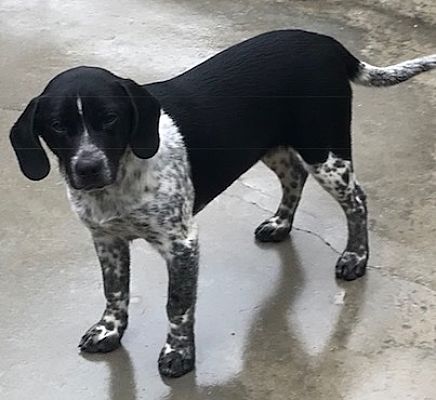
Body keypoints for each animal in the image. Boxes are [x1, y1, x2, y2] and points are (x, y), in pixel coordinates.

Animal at [10, 29, 436, 376]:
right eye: (58, 126)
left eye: (111, 119)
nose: (88, 168)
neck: (120, 180)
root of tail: (327, 43)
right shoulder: (106, 240)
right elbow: (114, 292)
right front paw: (109, 331)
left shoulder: (181, 244)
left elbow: (177, 305)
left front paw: (179, 354)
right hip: (269, 144)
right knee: (294, 176)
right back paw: (280, 224)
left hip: (325, 151)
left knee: (357, 201)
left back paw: (355, 257)